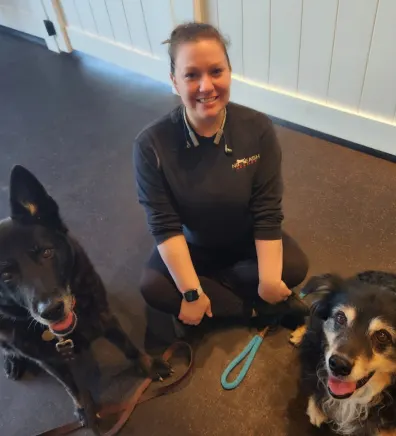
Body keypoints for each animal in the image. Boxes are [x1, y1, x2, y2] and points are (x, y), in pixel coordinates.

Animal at [0, 165, 171, 430]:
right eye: (6, 274)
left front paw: (149, 366)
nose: (51, 310)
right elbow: (71, 385)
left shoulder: (104, 317)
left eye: (46, 252)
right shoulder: (50, 360)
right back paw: (13, 361)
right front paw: (85, 409)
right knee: (9, 349)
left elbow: (128, 346)